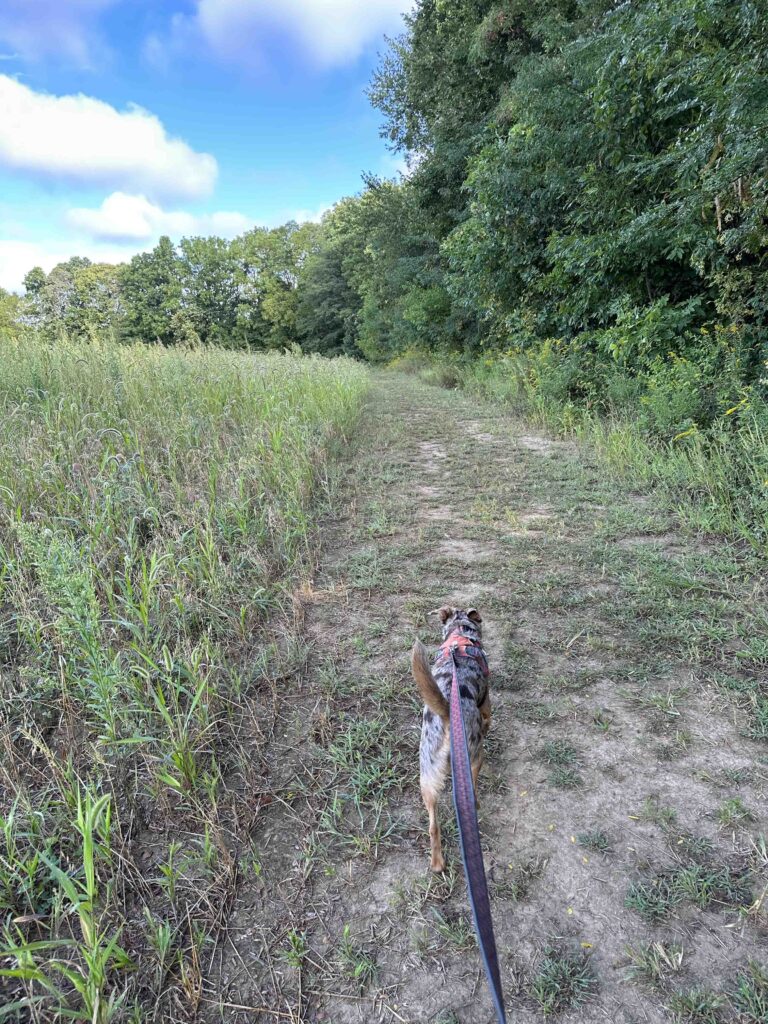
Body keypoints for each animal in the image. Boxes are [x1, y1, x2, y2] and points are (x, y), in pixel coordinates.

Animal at [411, 606, 489, 872]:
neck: (460, 635)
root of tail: (447, 712)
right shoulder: (487, 703)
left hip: (427, 777)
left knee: (433, 826)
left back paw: (437, 863)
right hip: (474, 756)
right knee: (473, 787)